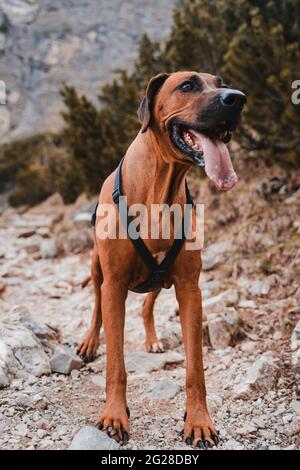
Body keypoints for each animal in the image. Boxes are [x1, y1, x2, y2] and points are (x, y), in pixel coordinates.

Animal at [77, 72, 246, 448]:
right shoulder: (115, 284)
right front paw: (114, 416)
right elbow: (116, 363)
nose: (238, 98)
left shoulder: (189, 288)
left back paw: (153, 339)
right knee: (96, 306)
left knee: (146, 305)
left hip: (160, 277)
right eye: (187, 85)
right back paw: (89, 342)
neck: (160, 186)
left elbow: (195, 368)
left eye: (220, 82)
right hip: (97, 268)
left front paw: (198, 421)